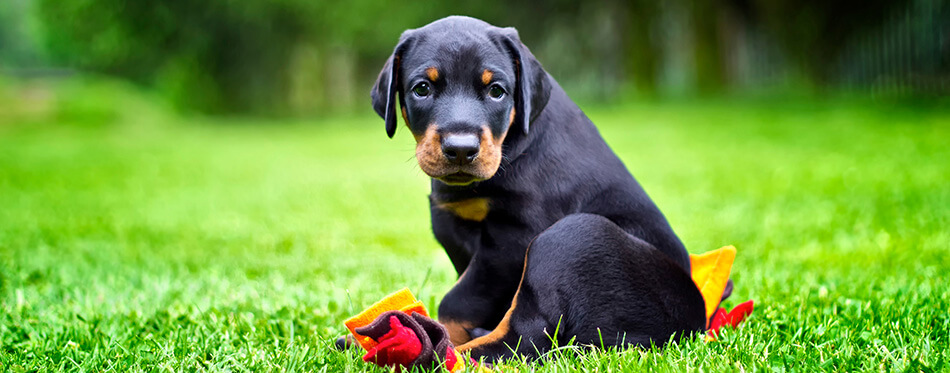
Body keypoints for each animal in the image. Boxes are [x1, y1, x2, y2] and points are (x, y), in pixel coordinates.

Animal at [368, 16, 712, 358]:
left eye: (496, 91)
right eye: (422, 89)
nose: (461, 149)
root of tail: (693, 326)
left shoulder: (513, 240)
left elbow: (459, 300)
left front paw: (442, 335)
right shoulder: (452, 225)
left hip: (573, 236)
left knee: (525, 336)